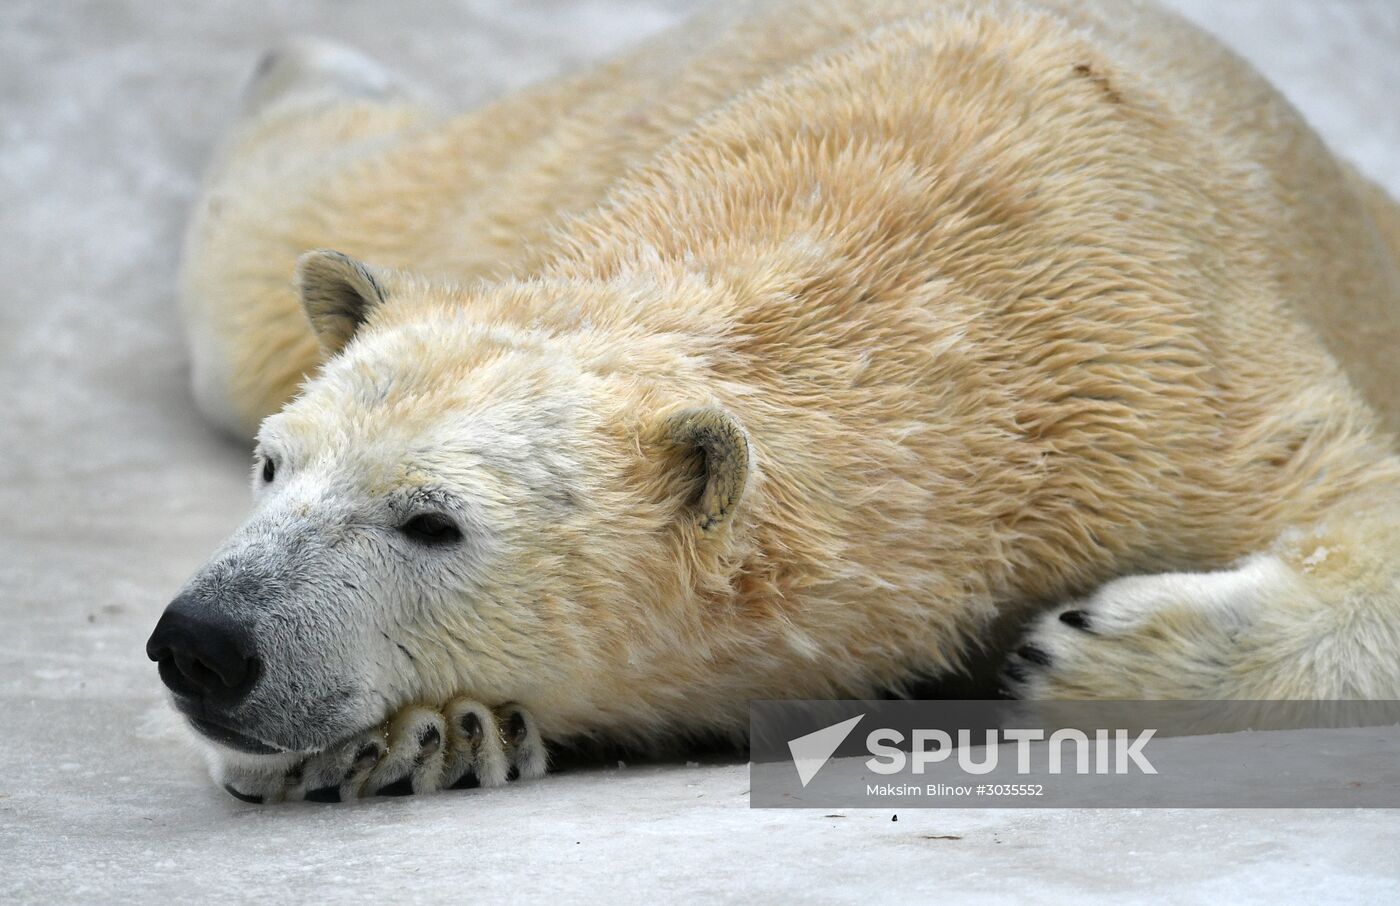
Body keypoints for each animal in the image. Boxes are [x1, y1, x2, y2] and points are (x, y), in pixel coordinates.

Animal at [147, 0, 1400, 803]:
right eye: (274, 467)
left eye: (431, 522)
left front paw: (1075, 651)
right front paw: (425, 733)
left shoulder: (1168, 373)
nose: (205, 645)